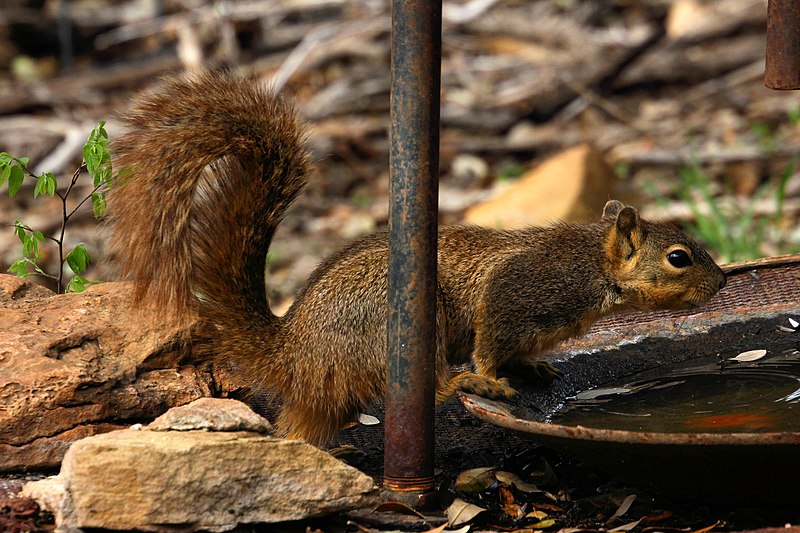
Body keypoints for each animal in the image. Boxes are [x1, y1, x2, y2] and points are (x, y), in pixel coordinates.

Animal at [106, 69, 724, 444]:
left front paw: (536, 367)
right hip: (404, 329)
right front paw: (493, 377)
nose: (720, 284)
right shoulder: (522, 288)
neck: (594, 268)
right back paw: (465, 387)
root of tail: (293, 352)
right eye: (679, 258)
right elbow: (491, 340)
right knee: (417, 387)